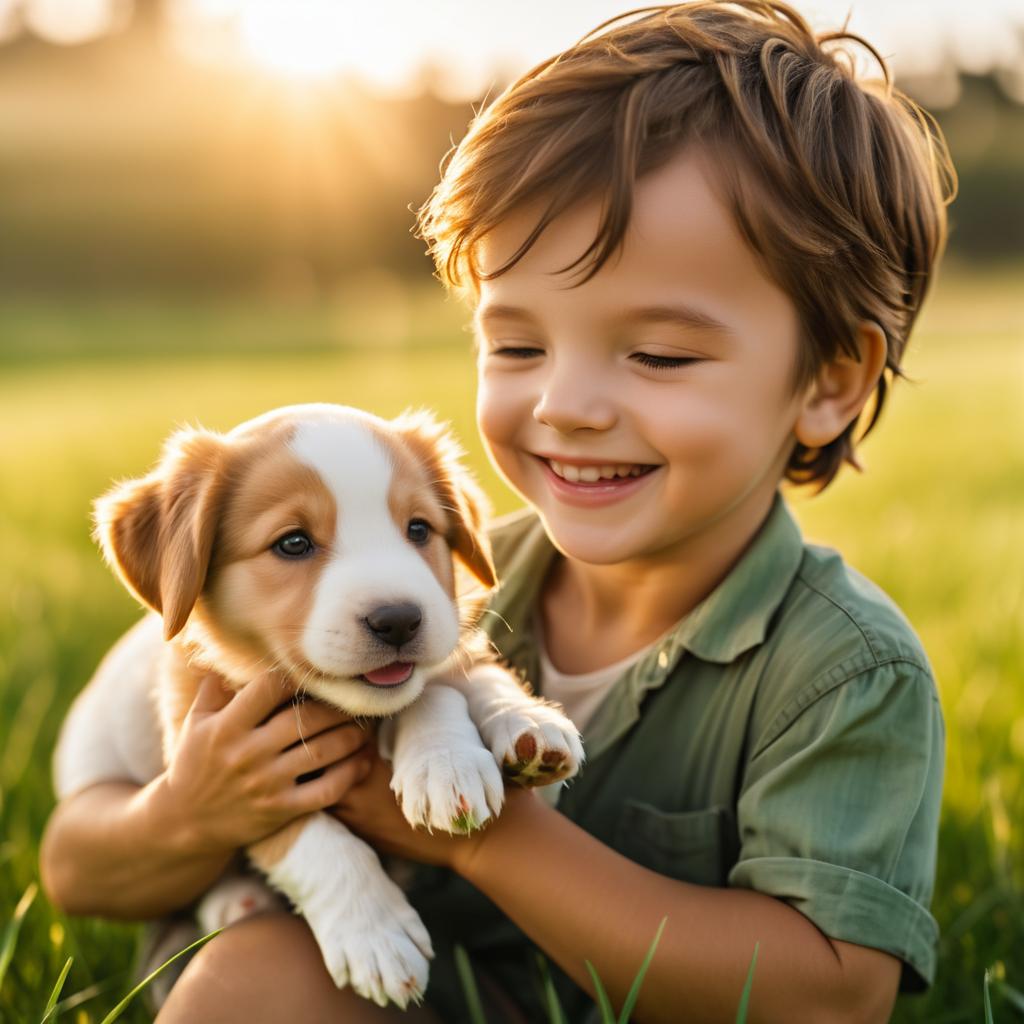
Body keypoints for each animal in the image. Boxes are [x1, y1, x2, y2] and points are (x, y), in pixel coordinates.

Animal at [56, 401, 585, 1007]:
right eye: (293, 543)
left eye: (419, 529)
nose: (399, 620)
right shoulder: (231, 777)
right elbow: (315, 844)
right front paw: (374, 933)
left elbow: (455, 681)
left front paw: (487, 743)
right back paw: (238, 902)